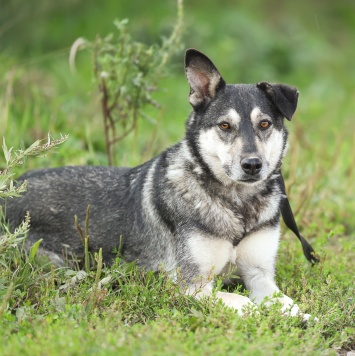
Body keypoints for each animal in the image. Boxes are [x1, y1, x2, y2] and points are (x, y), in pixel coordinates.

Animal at [2, 48, 314, 320]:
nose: (252, 165)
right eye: (225, 126)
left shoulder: (259, 274)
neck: (238, 203)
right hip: (55, 263)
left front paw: (304, 319)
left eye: (264, 124)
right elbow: (242, 301)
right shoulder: (193, 285)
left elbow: (287, 303)